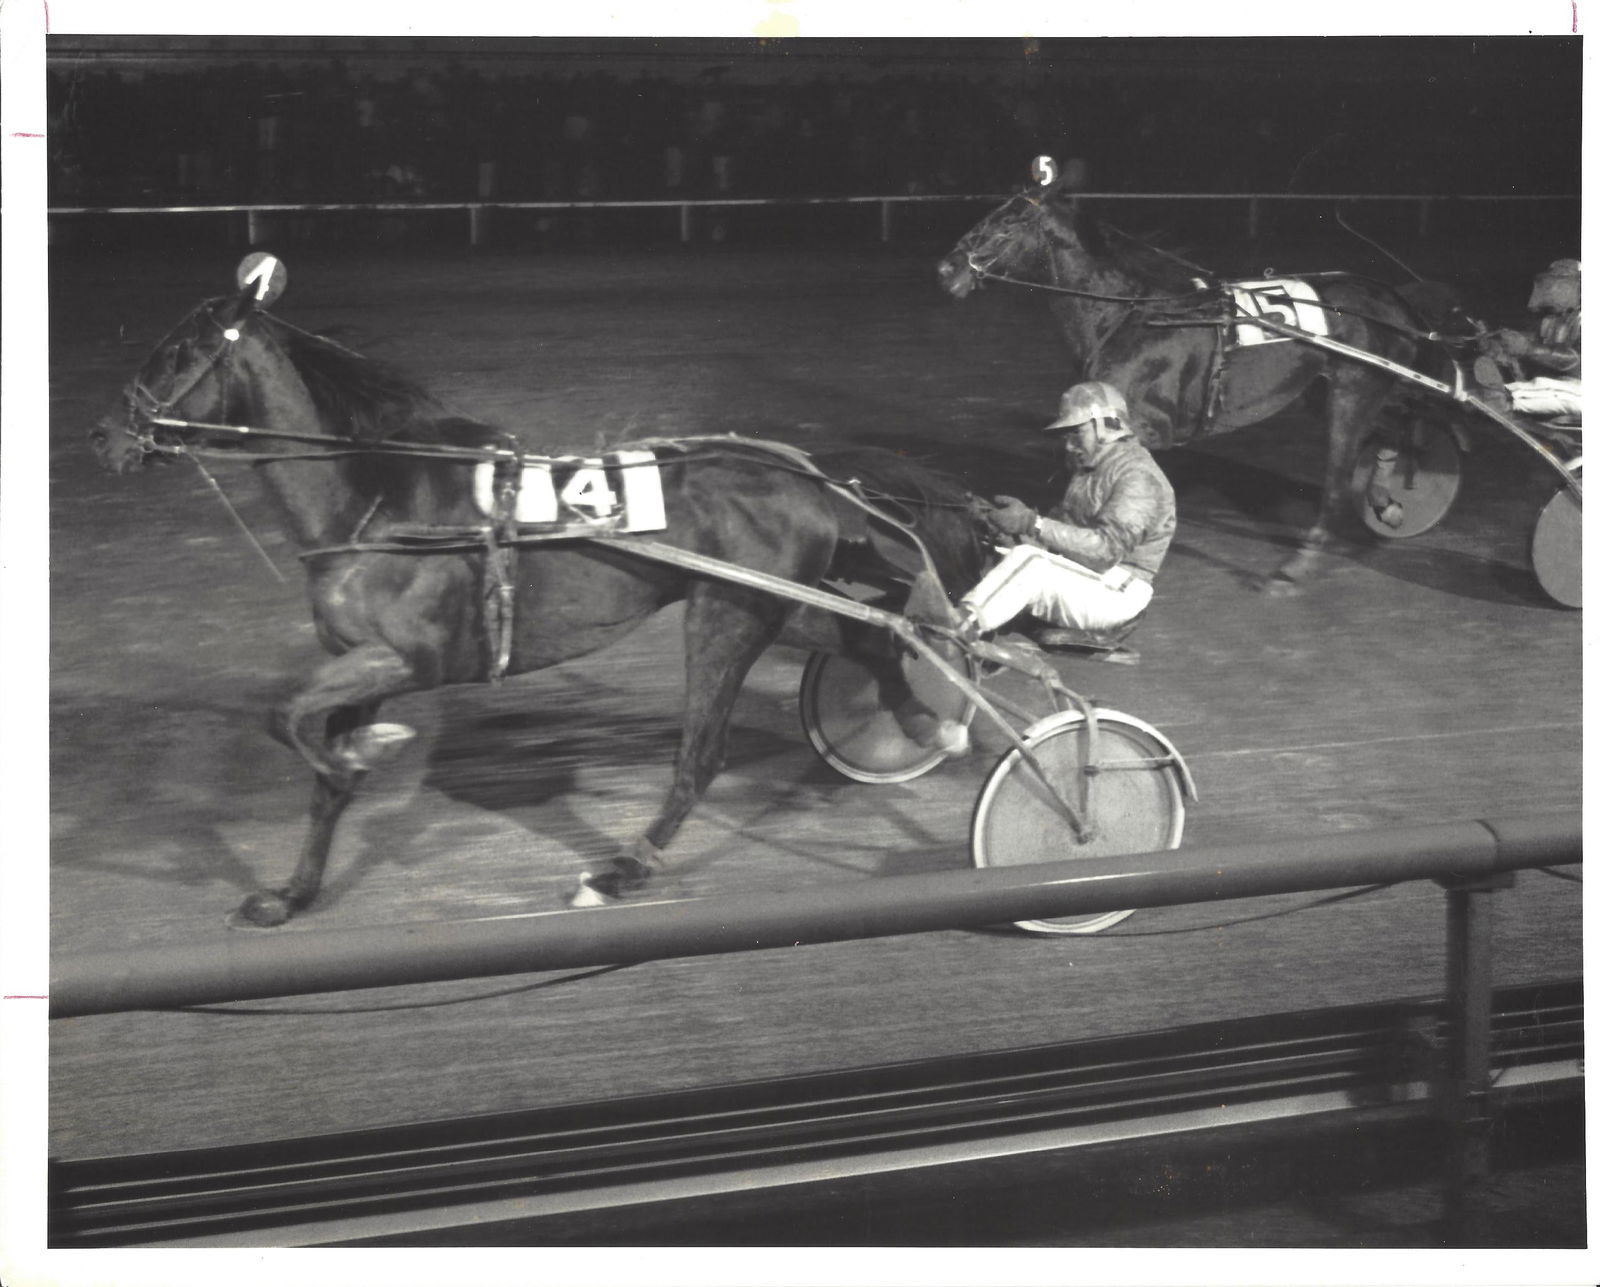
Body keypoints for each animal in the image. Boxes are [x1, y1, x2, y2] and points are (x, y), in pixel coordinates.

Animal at [88, 258, 988, 926]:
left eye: (175, 353)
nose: (105, 436)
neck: (378, 496)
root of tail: (803, 468)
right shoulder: (355, 657)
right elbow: (316, 769)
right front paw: (291, 892)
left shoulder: (411, 656)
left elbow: (285, 719)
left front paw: (364, 754)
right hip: (783, 602)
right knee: (876, 638)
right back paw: (929, 723)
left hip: (728, 614)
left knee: (700, 755)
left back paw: (620, 870)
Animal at [935, 169, 1435, 592]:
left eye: (1008, 221)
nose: (947, 268)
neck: (1128, 313)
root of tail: (1394, 301)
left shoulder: (1149, 425)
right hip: (1325, 390)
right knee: (1393, 426)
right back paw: (1385, 499)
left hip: (1352, 392)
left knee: (1338, 478)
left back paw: (1298, 564)